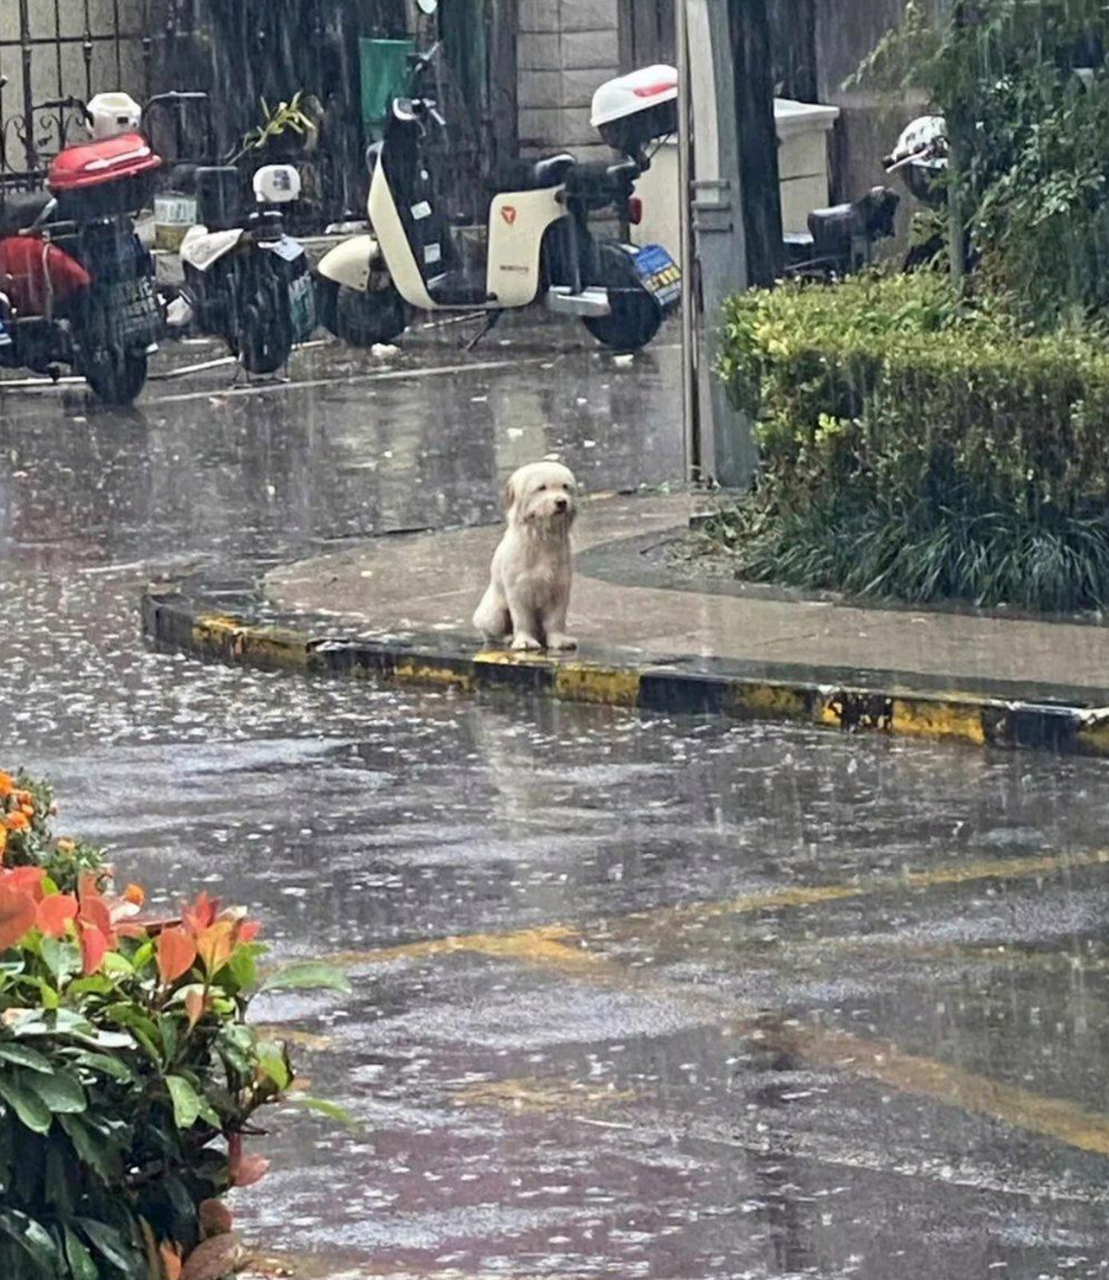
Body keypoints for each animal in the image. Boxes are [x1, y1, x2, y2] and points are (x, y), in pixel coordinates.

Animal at [471, 463, 578, 655]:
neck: (541, 538)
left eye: (565, 486)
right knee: (490, 632)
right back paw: (507, 637)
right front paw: (525, 641)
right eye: (542, 487)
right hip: (494, 614)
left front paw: (558, 640)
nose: (561, 502)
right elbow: (522, 618)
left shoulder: (559, 588)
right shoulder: (519, 590)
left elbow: (556, 619)